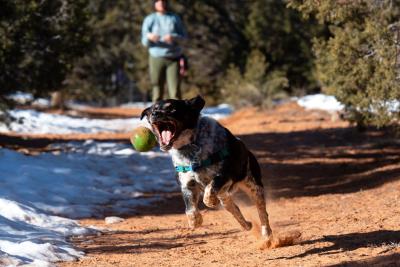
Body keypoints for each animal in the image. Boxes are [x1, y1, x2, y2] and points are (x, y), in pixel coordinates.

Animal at [139, 96, 274, 239]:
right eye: (153, 109)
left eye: (171, 108)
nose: (154, 114)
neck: (190, 147)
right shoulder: (187, 184)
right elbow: (189, 210)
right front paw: (196, 221)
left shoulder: (224, 174)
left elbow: (210, 189)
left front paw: (210, 202)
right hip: (226, 195)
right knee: (233, 207)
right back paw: (246, 225)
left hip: (253, 186)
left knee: (262, 212)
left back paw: (267, 234)